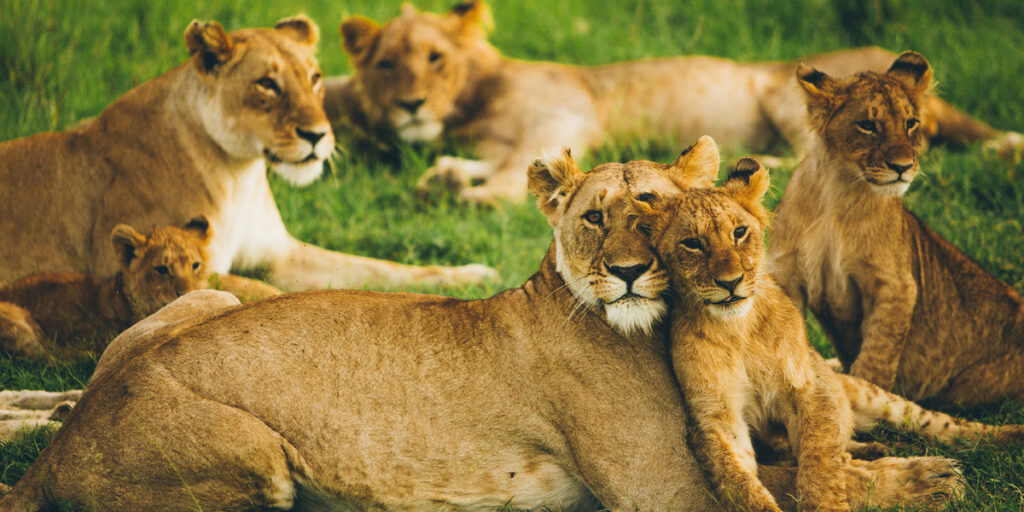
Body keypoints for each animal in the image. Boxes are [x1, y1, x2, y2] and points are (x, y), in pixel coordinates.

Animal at [0, 16, 495, 294]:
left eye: (315, 77)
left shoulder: (282, 255)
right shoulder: (157, 265)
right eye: (267, 84)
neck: (240, 173)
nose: (317, 135)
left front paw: (473, 275)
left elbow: (381, 268)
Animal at [0, 140, 962, 512]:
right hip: (257, 456)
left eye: (653, 209)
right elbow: (788, 484)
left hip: (217, 299)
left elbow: (804, 458)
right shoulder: (659, 491)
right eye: (595, 218)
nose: (626, 270)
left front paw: (892, 457)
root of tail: (60, 451)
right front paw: (927, 478)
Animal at [329, 0, 1024, 204]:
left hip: (783, 93)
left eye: (435, 58)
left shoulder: (563, 115)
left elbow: (514, 174)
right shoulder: (505, 139)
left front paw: (471, 195)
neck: (471, 105)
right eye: (387, 64)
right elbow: (502, 163)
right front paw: (447, 175)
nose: (411, 104)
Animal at [634, 152, 1019, 512]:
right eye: (692, 243)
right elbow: (741, 484)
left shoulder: (808, 387)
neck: (737, 329)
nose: (730, 282)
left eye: (739, 232)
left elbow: (820, 465)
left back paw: (1009, 436)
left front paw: (825, 499)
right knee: (847, 448)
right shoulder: (717, 419)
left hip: (869, 393)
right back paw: (876, 449)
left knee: (940, 424)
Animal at [770, 49, 1024, 405]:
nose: (903, 167)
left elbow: (877, 356)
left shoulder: (896, 285)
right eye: (867, 125)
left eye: (910, 123)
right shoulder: (787, 276)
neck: (837, 193)